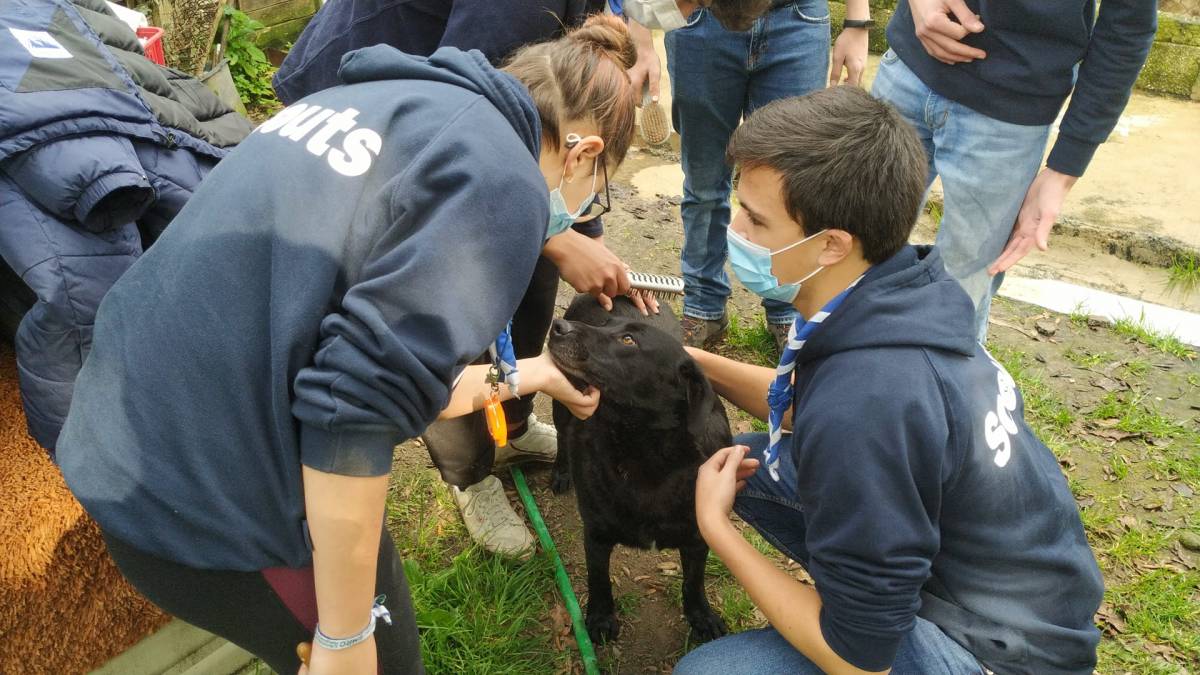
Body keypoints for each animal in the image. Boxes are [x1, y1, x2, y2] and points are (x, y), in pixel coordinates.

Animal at [547, 293, 729, 638]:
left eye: (628, 340)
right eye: (605, 324)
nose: (557, 326)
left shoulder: (698, 536)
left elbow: (693, 580)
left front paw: (700, 615)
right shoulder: (596, 533)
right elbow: (598, 579)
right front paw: (601, 618)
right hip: (562, 405)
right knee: (562, 436)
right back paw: (561, 471)